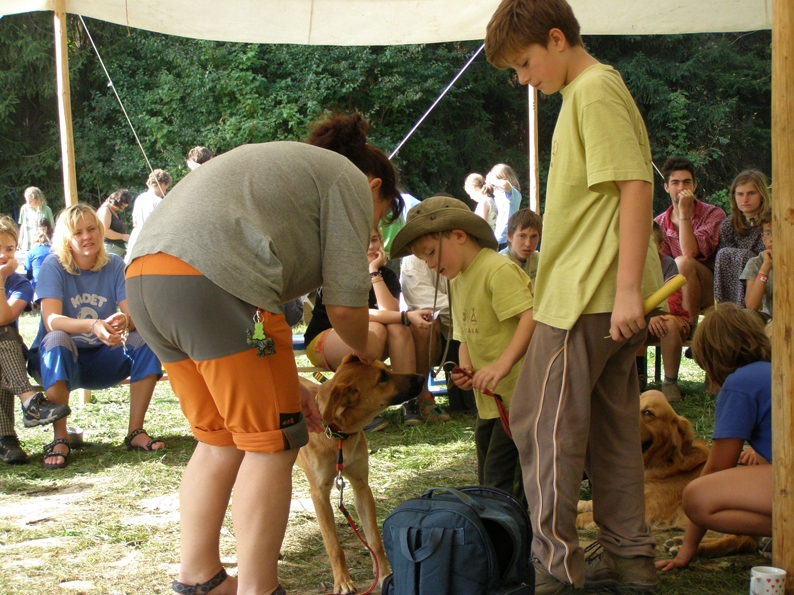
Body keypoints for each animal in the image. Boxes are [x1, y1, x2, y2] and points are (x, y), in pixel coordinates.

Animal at [294, 356, 424, 592]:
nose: (421, 377)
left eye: (386, 367)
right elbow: (334, 545)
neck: (338, 433)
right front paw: (343, 582)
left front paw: (384, 575)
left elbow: (374, 539)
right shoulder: (319, 493)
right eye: (382, 378)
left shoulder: (361, 485)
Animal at [576, 392, 756, 560]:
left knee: (740, 540)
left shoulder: (647, 510)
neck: (661, 464)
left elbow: (587, 515)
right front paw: (580, 503)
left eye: (648, 412)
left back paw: (688, 549)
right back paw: (679, 542)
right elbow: (590, 503)